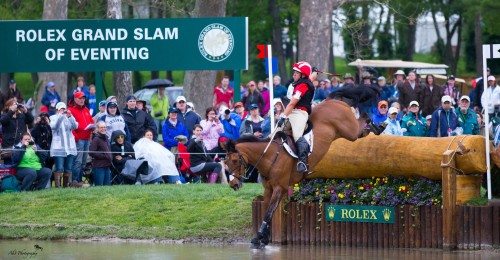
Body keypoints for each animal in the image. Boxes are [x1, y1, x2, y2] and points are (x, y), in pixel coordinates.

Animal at [225, 99, 366, 248]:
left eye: (235, 160)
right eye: (225, 162)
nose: (233, 184)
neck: (269, 155)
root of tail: (337, 101)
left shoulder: (279, 188)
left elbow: (268, 213)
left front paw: (258, 238)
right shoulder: (269, 189)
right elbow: (267, 212)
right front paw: (264, 238)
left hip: (349, 131)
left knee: (360, 124)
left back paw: (372, 124)